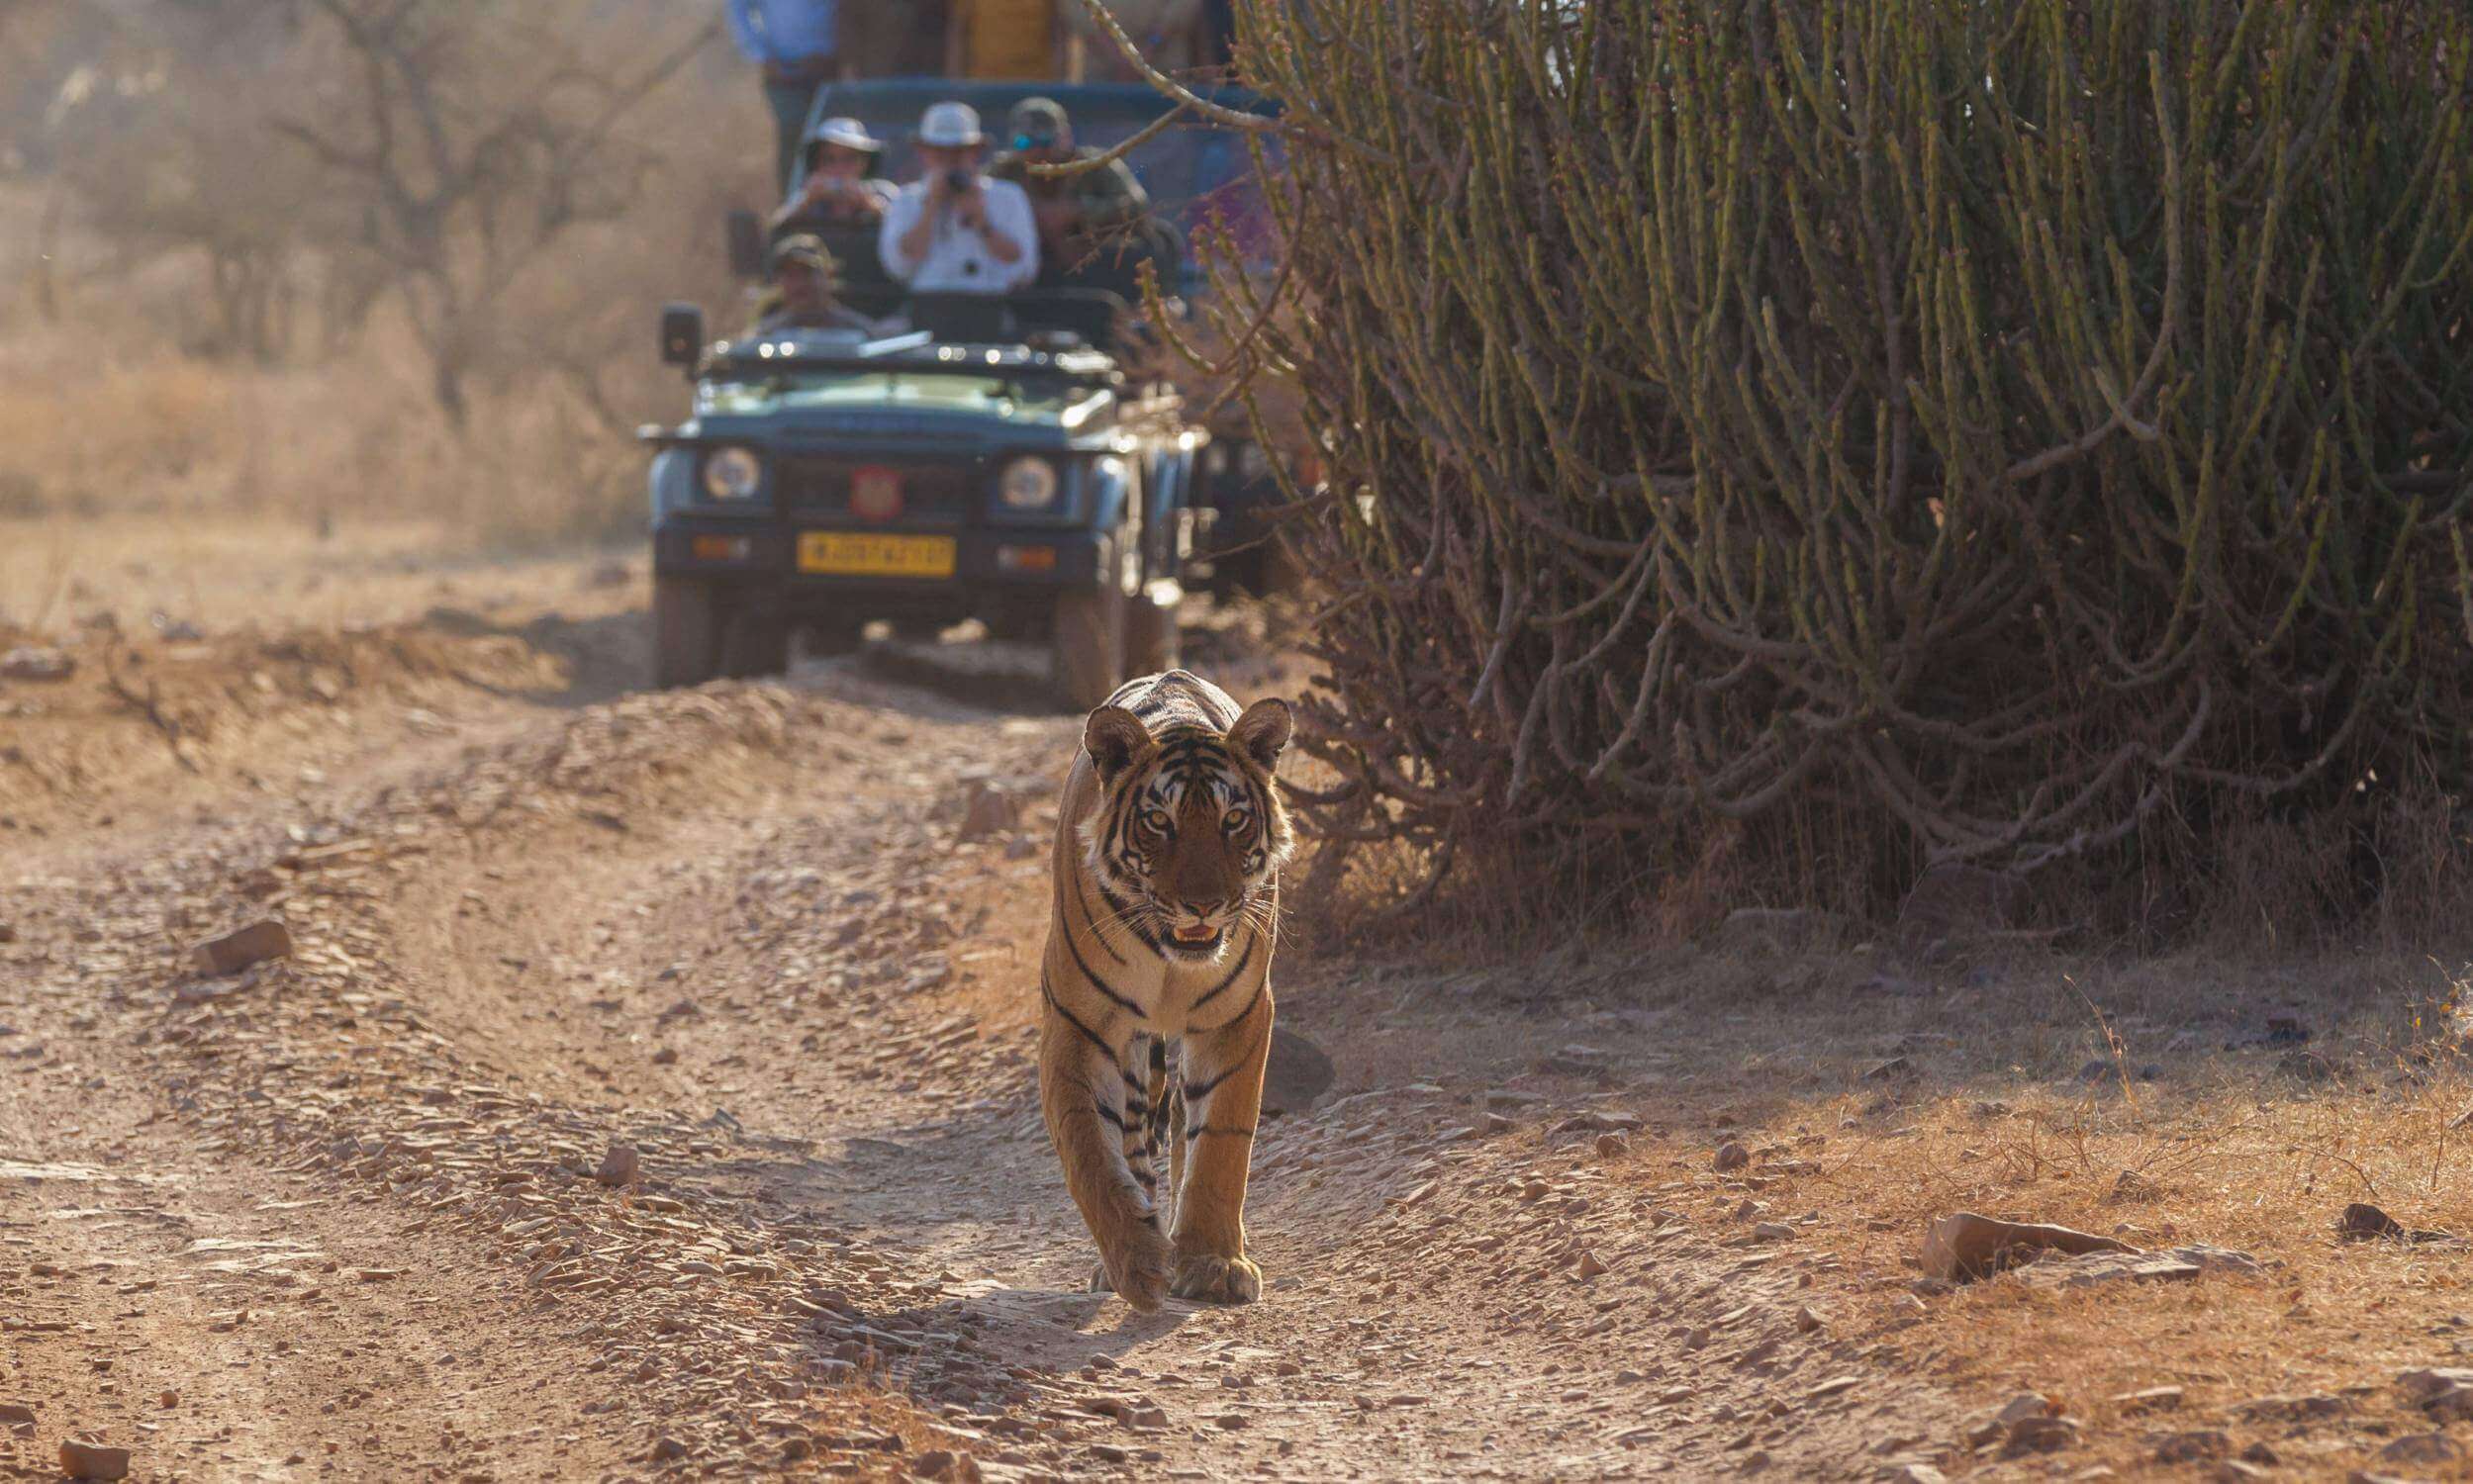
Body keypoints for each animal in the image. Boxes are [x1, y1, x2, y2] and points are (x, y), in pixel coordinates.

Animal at [1033, 668, 1295, 1306]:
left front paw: (1212, 1262)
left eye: (1233, 820)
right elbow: (1090, 1150)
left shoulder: (1238, 1017)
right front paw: (1136, 1260)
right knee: (1133, 1137)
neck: (1171, 961)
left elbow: (1220, 1142)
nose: (1203, 904)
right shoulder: (1079, 1027)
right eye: (1159, 822)